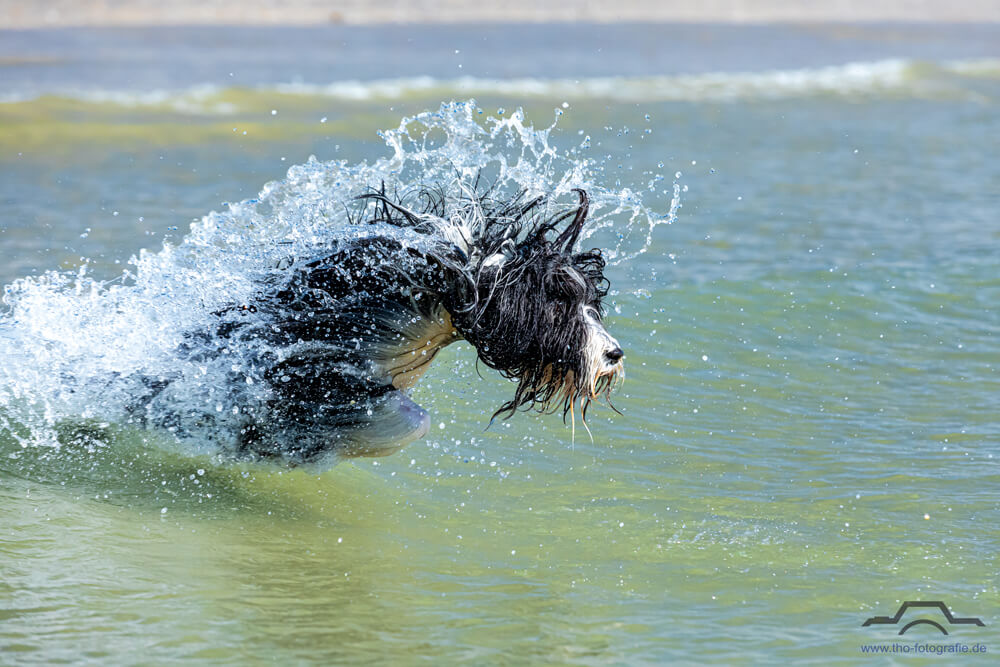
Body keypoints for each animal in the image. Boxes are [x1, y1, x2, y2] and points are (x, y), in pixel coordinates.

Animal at [205, 185, 624, 462]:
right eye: (560, 302)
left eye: (591, 303)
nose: (615, 354)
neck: (457, 287)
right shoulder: (315, 363)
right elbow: (411, 418)